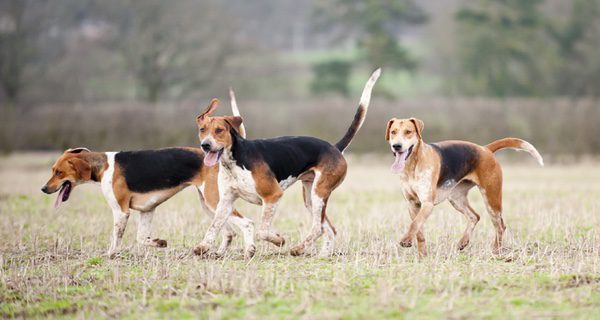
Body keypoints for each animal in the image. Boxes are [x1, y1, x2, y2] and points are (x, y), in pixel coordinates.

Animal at [192, 69, 380, 258]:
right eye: (202, 130)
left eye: (219, 130)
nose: (205, 145)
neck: (234, 161)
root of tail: (334, 147)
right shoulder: (225, 201)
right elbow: (214, 226)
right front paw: (203, 246)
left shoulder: (273, 196)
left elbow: (262, 231)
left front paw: (279, 240)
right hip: (311, 198)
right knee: (328, 229)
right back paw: (323, 255)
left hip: (319, 193)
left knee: (318, 228)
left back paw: (299, 248)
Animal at [384, 117, 544, 255]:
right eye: (393, 132)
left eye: (408, 132)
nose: (396, 146)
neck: (413, 165)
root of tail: (485, 149)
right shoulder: (412, 204)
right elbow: (419, 231)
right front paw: (422, 256)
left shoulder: (427, 203)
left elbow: (414, 224)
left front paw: (406, 240)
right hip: (456, 198)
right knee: (475, 216)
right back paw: (463, 242)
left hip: (492, 200)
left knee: (500, 226)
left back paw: (496, 251)